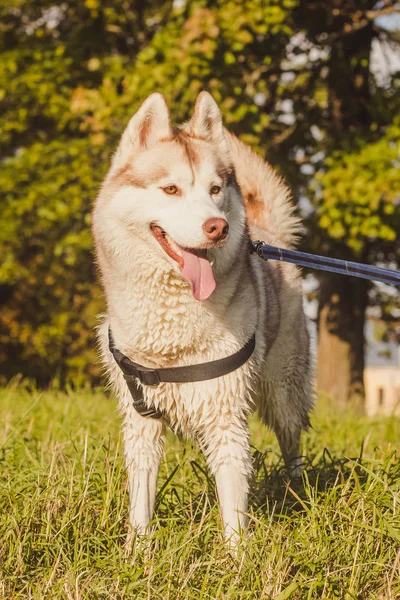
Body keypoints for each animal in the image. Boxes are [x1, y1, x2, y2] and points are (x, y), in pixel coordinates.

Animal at [92, 91, 314, 548]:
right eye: (171, 189)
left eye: (215, 189)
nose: (219, 227)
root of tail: (268, 236)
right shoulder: (141, 422)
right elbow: (140, 502)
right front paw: (137, 553)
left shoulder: (227, 416)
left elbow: (233, 512)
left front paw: (236, 559)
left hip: (284, 391)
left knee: (292, 443)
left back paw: (297, 493)